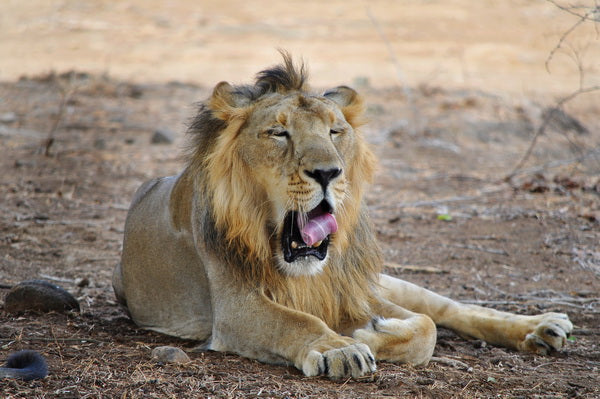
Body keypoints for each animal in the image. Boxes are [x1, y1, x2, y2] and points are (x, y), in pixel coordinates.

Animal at [111, 54, 572, 382]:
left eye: (335, 131)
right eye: (279, 133)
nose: (327, 172)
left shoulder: (351, 290)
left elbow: (426, 327)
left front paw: (371, 333)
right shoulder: (234, 304)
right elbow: (296, 320)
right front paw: (341, 348)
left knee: (448, 307)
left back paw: (543, 326)